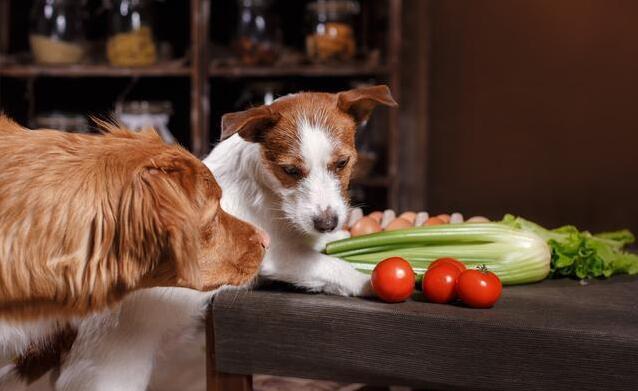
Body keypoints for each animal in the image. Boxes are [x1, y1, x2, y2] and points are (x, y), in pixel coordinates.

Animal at [13, 84, 396, 390]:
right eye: (290, 171)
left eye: (342, 163)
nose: (327, 222)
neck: (266, 190)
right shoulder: (276, 255)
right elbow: (328, 266)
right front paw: (368, 279)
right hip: (108, 375)